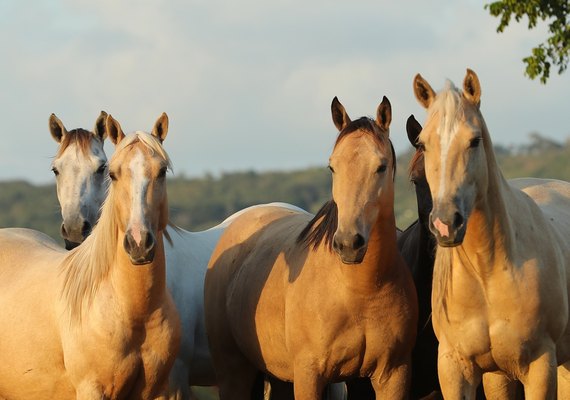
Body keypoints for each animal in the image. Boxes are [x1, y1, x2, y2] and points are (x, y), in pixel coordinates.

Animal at [204, 95, 418, 398]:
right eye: (332, 167)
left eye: (381, 166)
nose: (348, 243)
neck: (360, 290)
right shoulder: (309, 374)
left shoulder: (393, 374)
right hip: (233, 372)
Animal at [410, 68, 568, 396]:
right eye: (423, 143)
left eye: (474, 140)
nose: (446, 223)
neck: (487, 273)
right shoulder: (456, 369)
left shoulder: (541, 366)